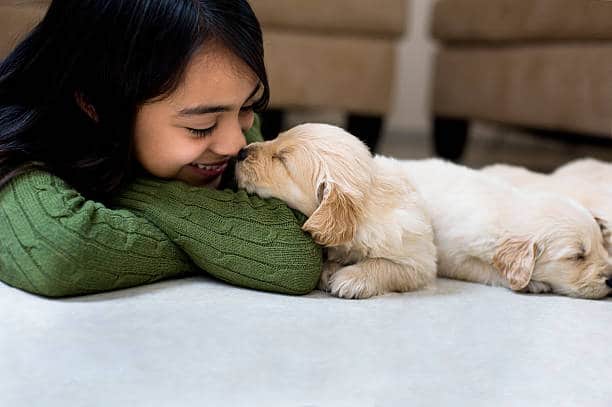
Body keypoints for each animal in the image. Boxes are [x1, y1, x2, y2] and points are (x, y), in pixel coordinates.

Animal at [232, 122, 438, 298]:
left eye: (282, 160)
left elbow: (386, 265)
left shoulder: (420, 263)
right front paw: (329, 270)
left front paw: (352, 278)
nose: (241, 152)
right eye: (276, 138)